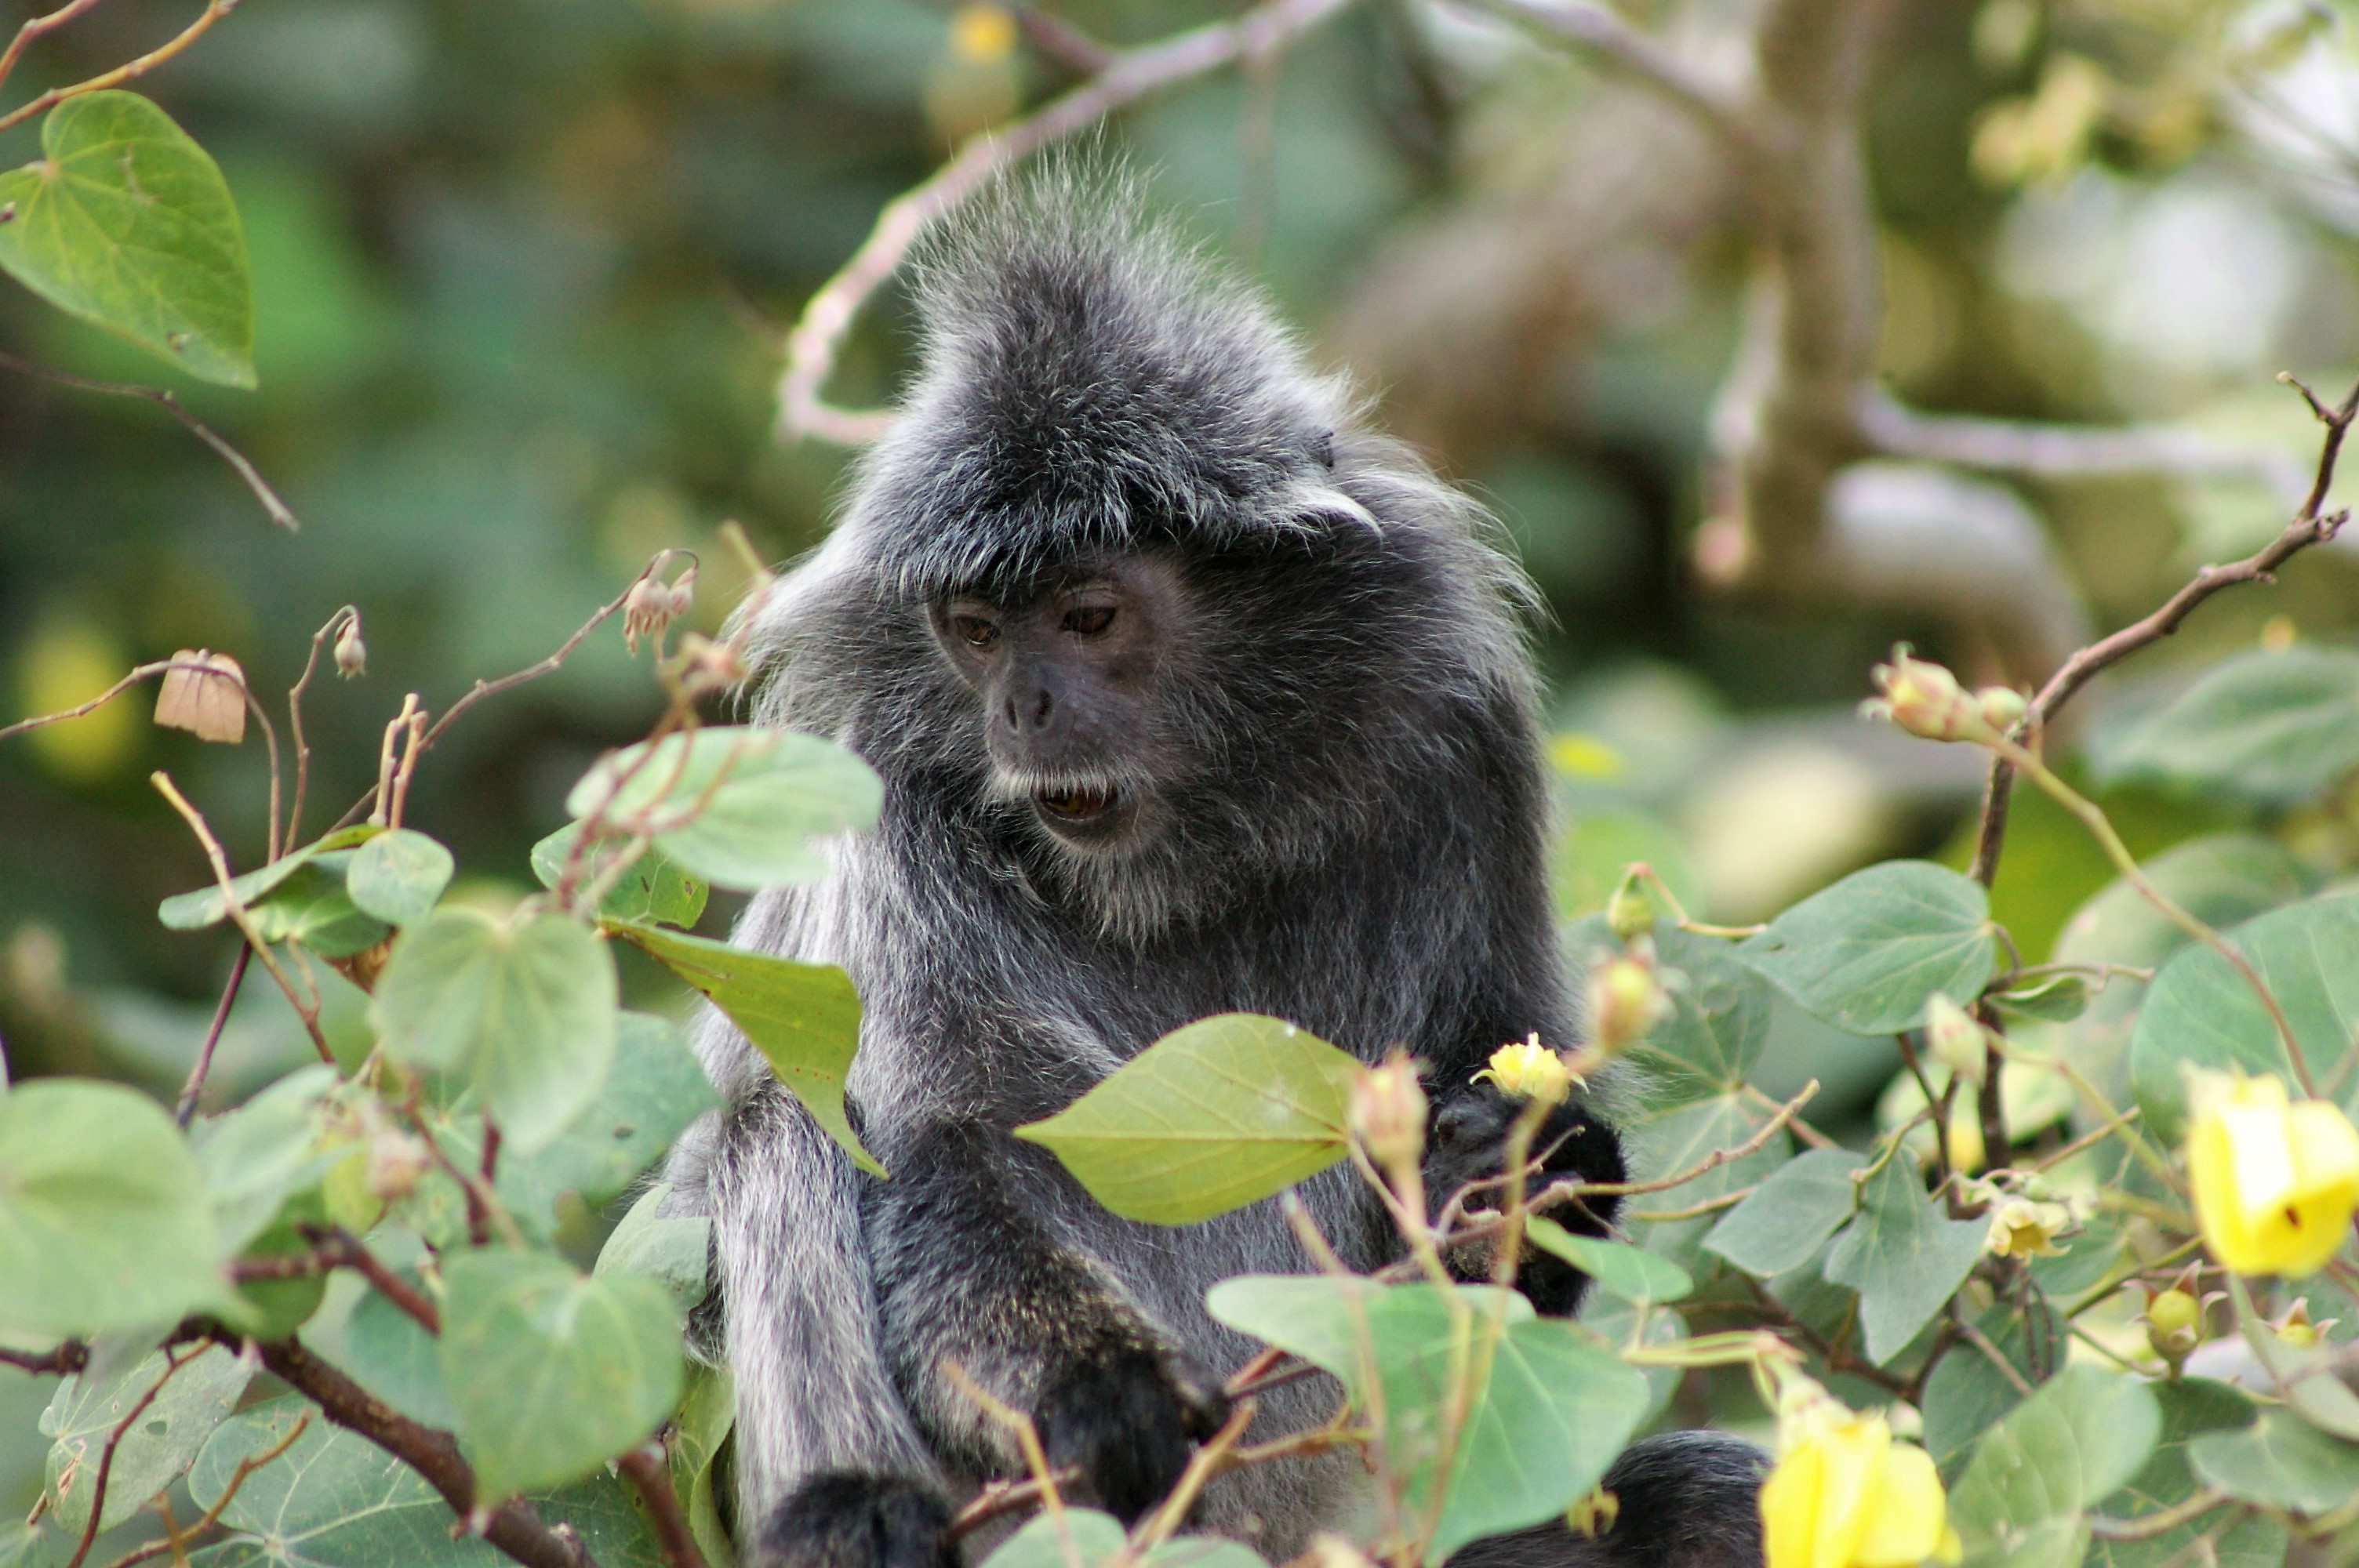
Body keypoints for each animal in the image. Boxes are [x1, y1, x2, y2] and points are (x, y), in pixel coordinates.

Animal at [657, 165, 1768, 1568]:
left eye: (1088, 616)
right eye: (975, 633)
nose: (1020, 709)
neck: (1177, 856)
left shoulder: (1458, 745)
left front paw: (1530, 1174)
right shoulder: (891, 801)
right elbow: (944, 1146)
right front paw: (1099, 1388)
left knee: (1720, 1495)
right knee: (779, 1129)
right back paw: (850, 1510)